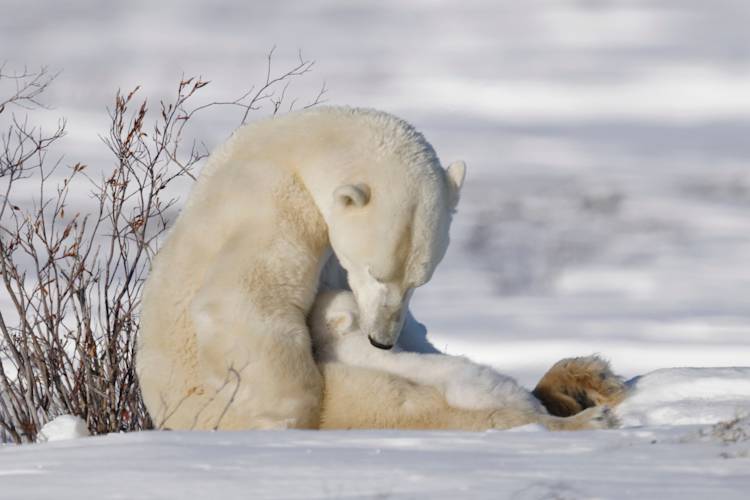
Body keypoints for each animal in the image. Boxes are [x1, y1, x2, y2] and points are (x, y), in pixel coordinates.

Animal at [134, 106, 468, 430]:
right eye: (376, 273)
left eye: (417, 282)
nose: (381, 341)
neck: (300, 147)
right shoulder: (275, 200)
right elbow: (241, 299)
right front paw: (292, 417)